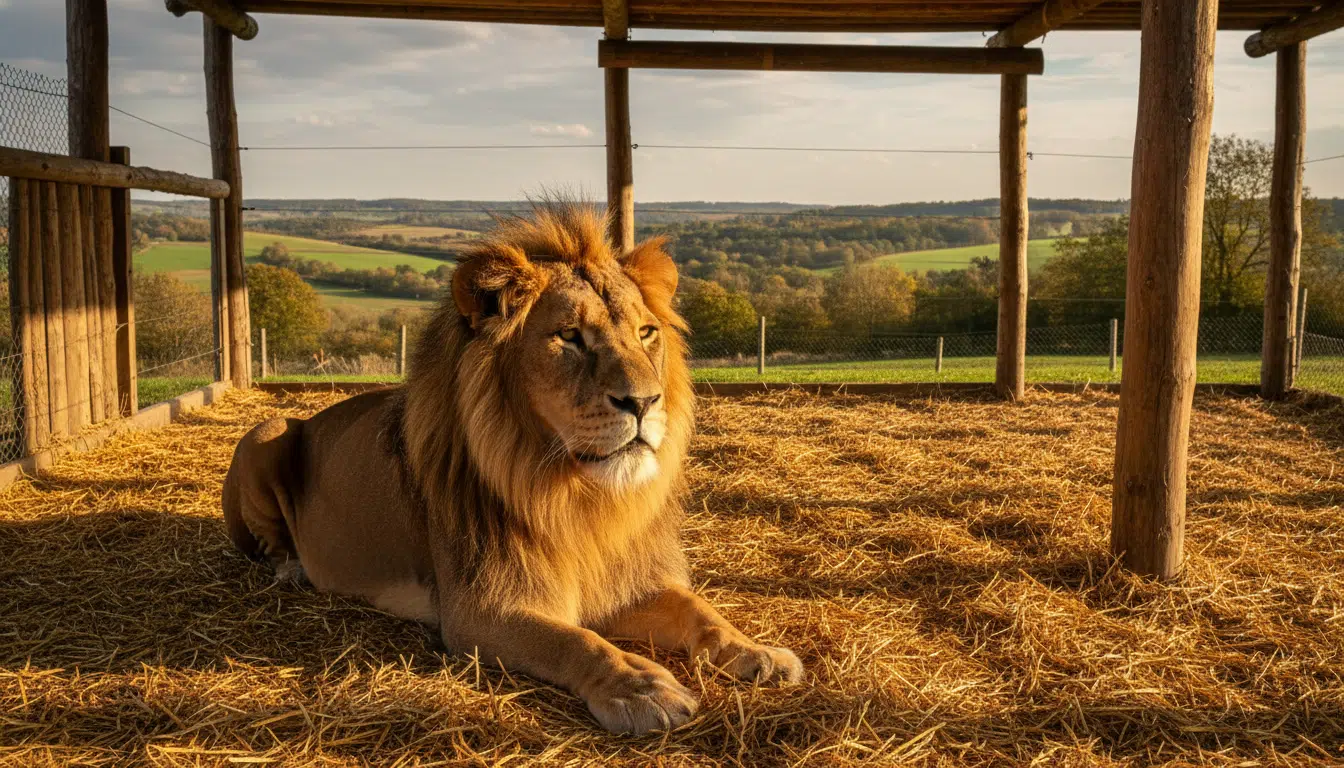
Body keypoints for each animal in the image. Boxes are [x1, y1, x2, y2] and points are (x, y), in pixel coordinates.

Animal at [222, 201, 802, 733]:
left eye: (645, 333)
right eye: (569, 336)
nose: (644, 402)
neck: (577, 494)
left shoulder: (621, 578)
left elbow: (698, 610)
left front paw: (758, 653)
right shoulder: (479, 611)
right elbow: (577, 640)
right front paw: (641, 686)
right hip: (266, 431)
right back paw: (292, 568)